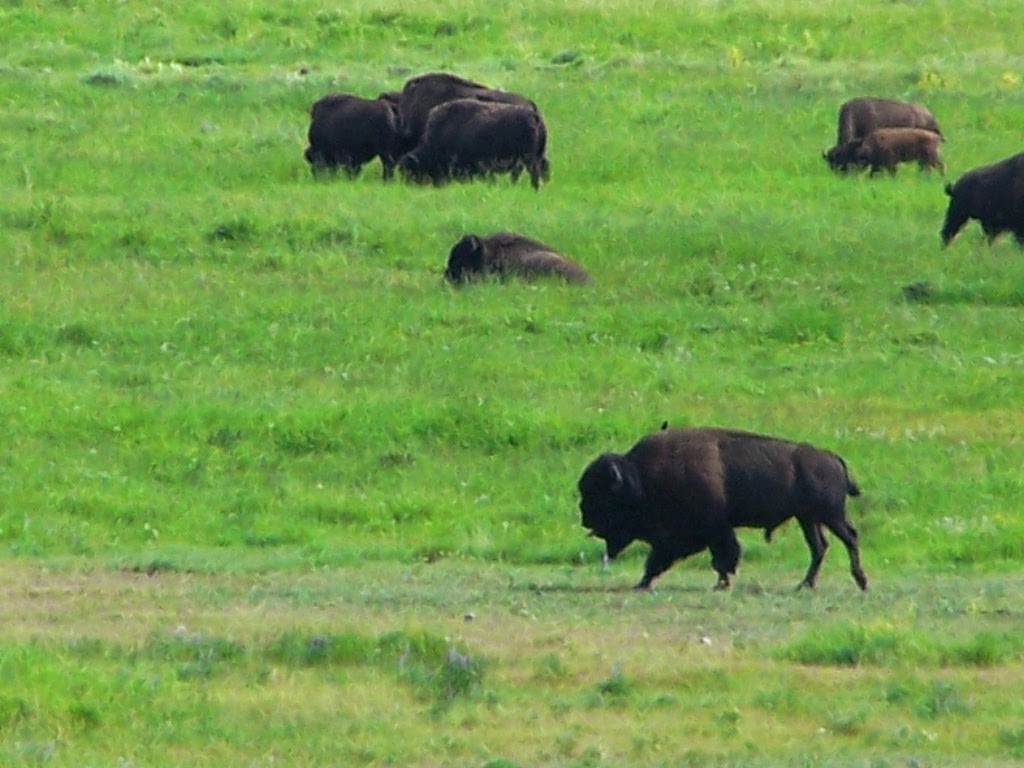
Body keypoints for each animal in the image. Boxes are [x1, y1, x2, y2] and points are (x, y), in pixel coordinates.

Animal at [577, 427, 868, 591]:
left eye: (602, 496)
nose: (584, 517)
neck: (640, 477)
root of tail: (832, 457)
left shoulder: (714, 528)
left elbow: (723, 555)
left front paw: (722, 583)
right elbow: (660, 559)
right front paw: (642, 582)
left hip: (830, 515)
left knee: (849, 537)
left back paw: (861, 581)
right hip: (808, 518)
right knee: (819, 547)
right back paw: (804, 585)